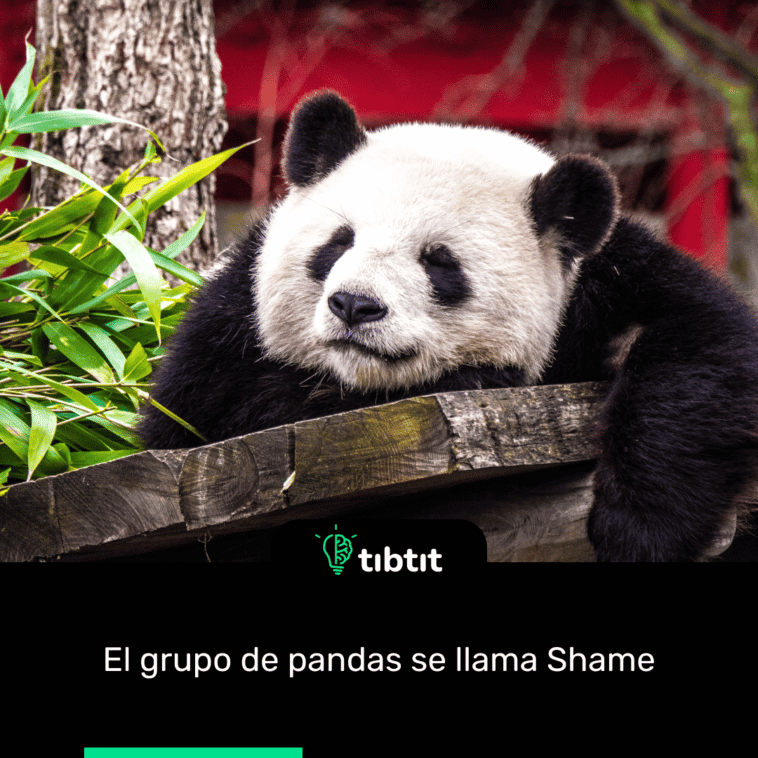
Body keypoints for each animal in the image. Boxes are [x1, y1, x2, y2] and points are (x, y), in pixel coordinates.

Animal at [138, 90, 758, 562]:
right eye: (338, 242)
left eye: (439, 262)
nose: (354, 305)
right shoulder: (229, 321)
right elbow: (205, 411)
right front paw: (479, 380)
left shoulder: (605, 280)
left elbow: (704, 346)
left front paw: (639, 529)